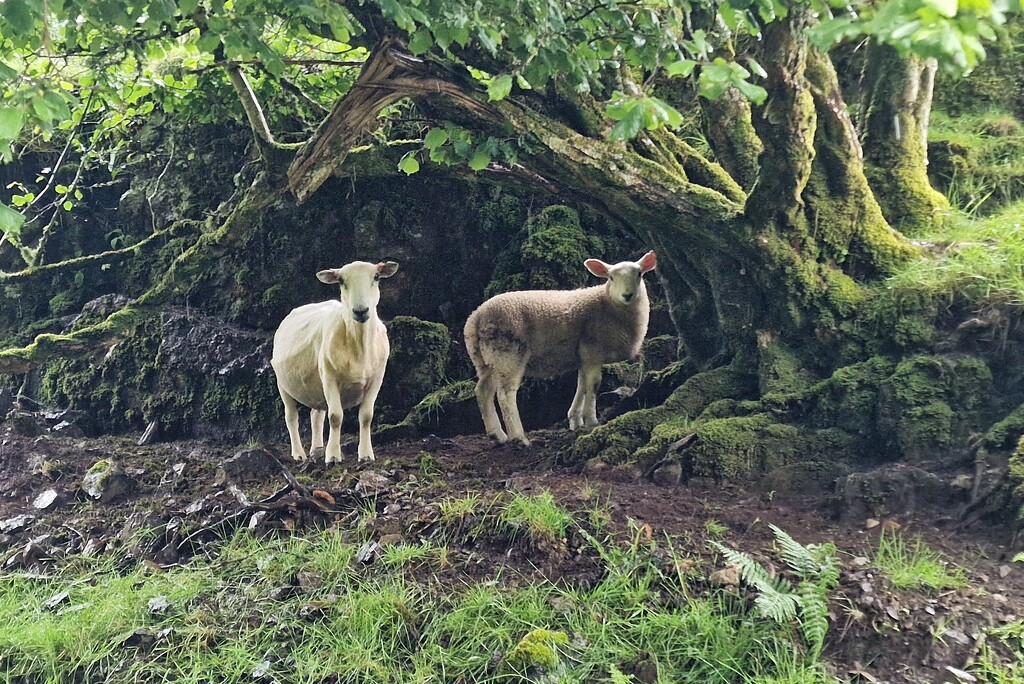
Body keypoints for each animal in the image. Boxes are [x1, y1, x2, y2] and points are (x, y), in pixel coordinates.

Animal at [270, 259, 397, 462]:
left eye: (376, 277)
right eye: (341, 281)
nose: (360, 311)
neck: (359, 346)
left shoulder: (376, 378)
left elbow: (366, 416)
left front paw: (366, 455)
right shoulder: (329, 377)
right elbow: (336, 416)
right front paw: (333, 456)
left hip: (316, 387)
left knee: (316, 415)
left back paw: (316, 449)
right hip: (283, 383)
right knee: (291, 417)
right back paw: (299, 454)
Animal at [464, 248, 655, 446]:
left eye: (639, 274)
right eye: (610, 277)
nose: (627, 295)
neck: (607, 304)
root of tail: (475, 317)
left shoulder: (584, 355)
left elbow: (581, 384)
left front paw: (576, 419)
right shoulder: (593, 350)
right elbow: (593, 385)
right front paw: (591, 421)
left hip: (486, 360)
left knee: (482, 391)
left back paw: (497, 434)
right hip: (508, 353)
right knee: (505, 394)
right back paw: (518, 437)